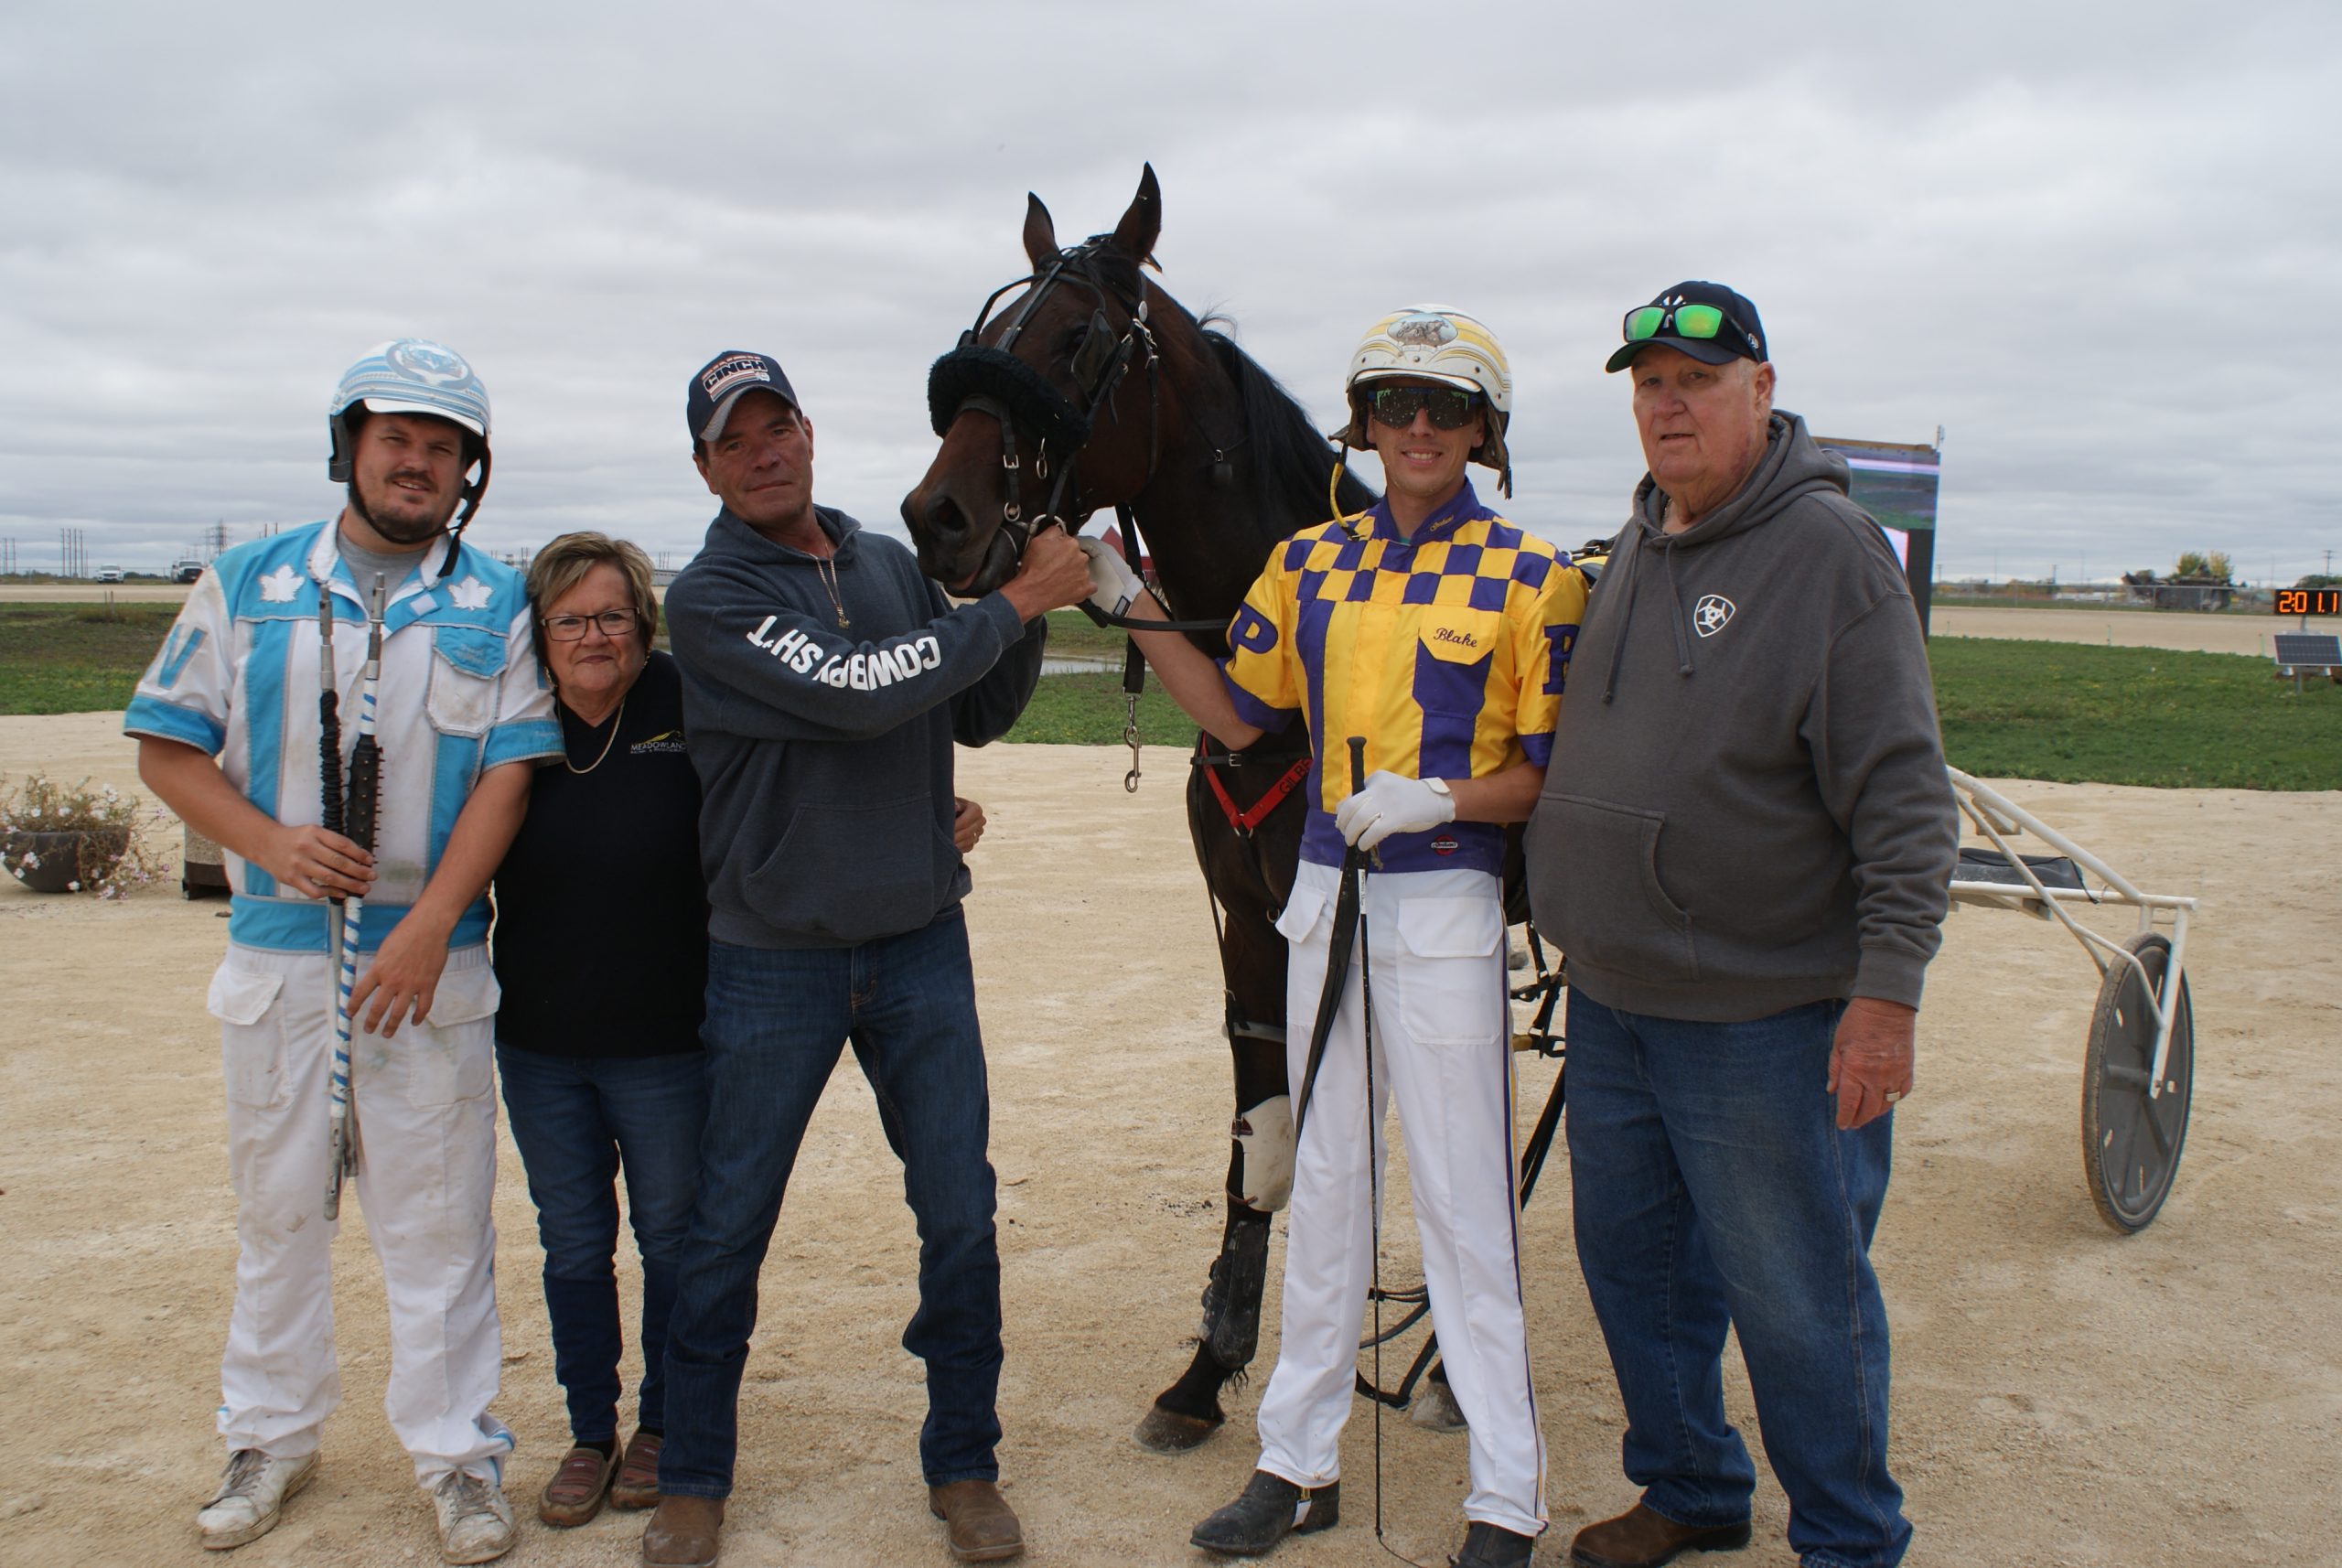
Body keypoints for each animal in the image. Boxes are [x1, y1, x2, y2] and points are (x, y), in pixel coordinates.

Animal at [899, 166, 1377, 1460]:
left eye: (1075, 341)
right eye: (983, 334)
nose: (936, 515)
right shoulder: (1249, 921)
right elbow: (1263, 1140)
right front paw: (1207, 1368)